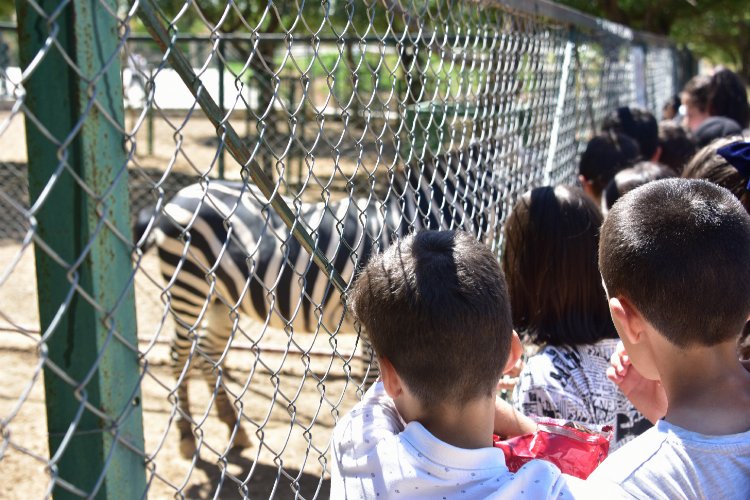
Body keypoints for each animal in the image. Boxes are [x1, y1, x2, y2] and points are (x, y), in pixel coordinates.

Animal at [137, 139, 508, 458]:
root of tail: (178, 195)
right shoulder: (375, 326)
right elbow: (372, 383)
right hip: (188, 286)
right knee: (179, 355)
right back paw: (187, 437)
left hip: (220, 300)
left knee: (208, 355)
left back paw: (234, 428)